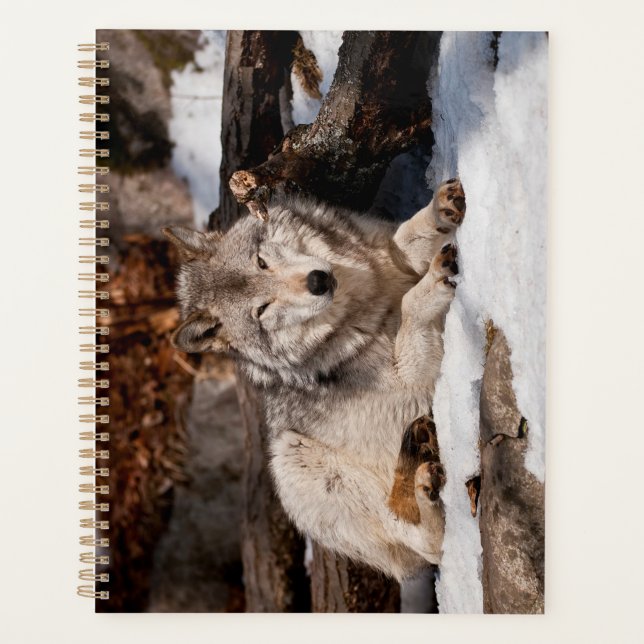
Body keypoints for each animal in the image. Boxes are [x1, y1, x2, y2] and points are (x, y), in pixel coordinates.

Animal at [163, 178, 466, 581]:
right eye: (262, 310)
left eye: (261, 261)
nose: (318, 281)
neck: (360, 309)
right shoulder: (412, 373)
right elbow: (411, 306)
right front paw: (432, 283)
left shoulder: (387, 253)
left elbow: (406, 240)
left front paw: (440, 210)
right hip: (288, 457)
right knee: (425, 545)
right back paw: (426, 497)